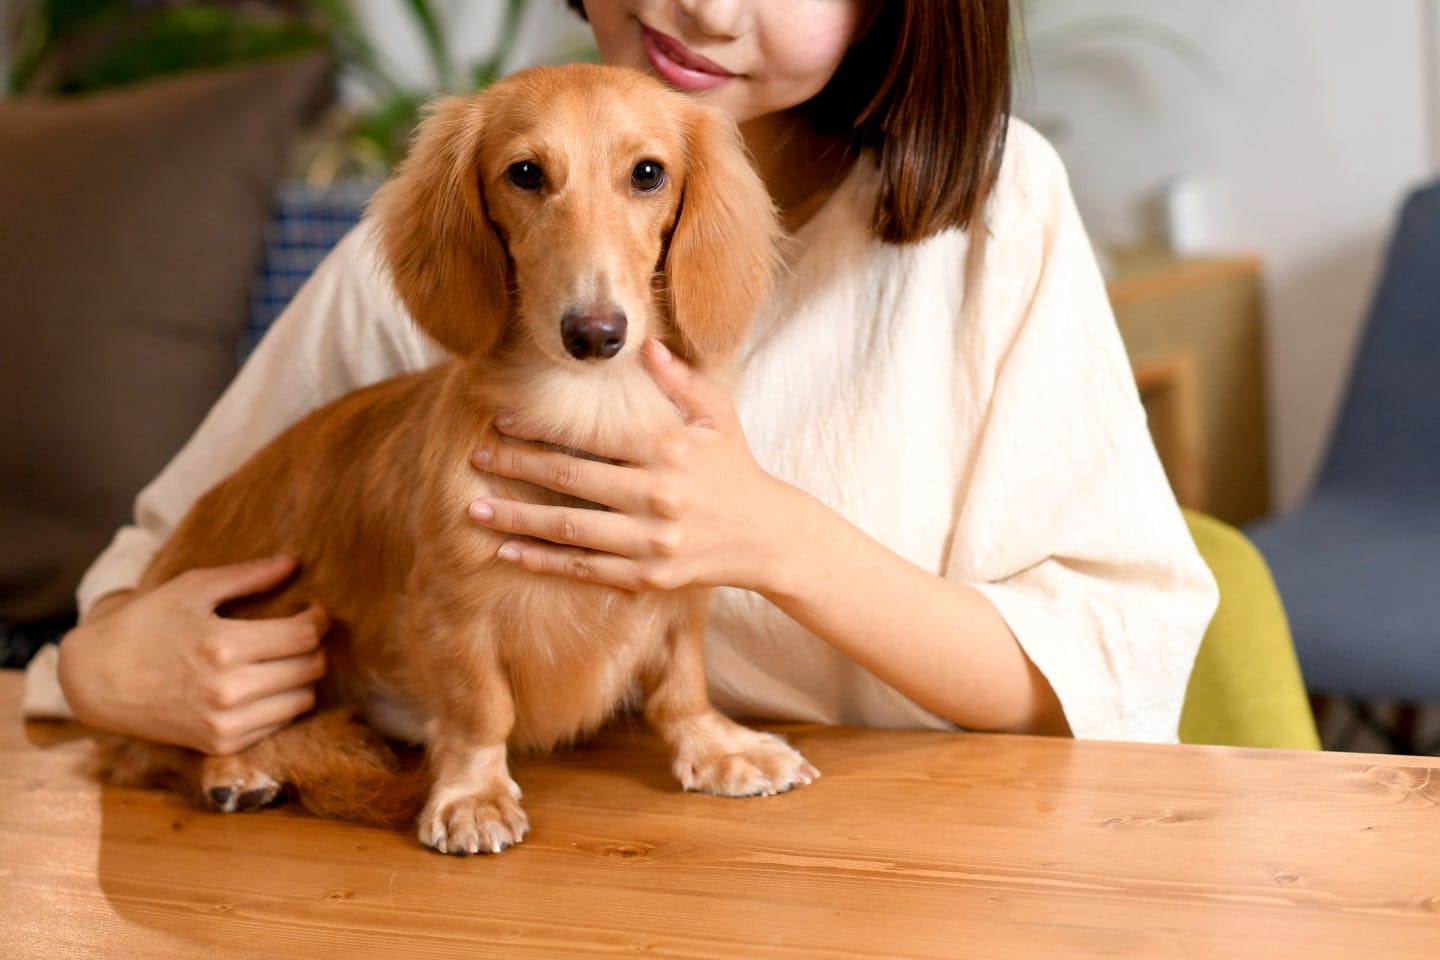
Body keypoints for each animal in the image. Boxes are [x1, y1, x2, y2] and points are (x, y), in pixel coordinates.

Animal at [100, 63, 817, 852]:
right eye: (526, 173)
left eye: (649, 173)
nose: (594, 334)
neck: (589, 409)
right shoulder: (453, 612)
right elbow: (480, 710)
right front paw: (473, 796)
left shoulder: (680, 591)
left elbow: (680, 685)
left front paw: (718, 747)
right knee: (153, 745)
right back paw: (233, 770)